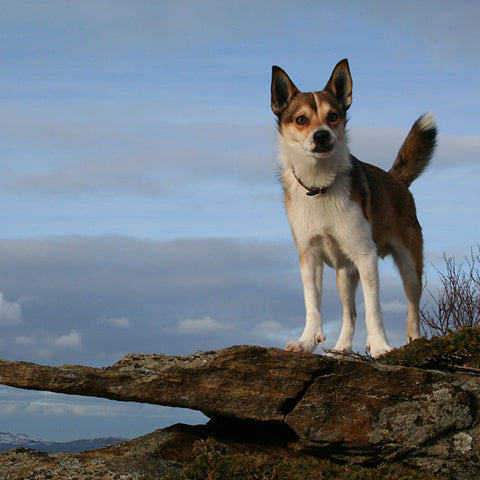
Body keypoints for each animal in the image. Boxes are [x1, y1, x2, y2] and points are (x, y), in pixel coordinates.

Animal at [272, 58, 436, 358]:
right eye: (301, 119)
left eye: (333, 116)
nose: (322, 136)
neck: (320, 186)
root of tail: (395, 179)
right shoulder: (309, 257)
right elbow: (312, 305)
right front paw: (306, 341)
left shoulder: (366, 256)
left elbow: (375, 310)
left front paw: (381, 346)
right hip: (345, 275)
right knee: (350, 314)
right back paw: (341, 348)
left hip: (410, 265)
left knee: (411, 309)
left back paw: (414, 342)